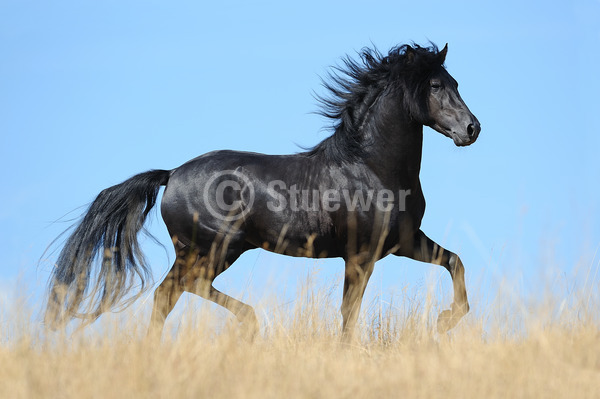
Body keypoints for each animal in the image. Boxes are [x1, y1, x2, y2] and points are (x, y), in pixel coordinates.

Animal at [45, 43, 478, 340]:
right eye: (435, 85)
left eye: (456, 83)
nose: (472, 129)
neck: (370, 167)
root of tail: (172, 174)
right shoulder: (359, 255)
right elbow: (349, 313)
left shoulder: (404, 241)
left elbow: (454, 262)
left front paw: (445, 320)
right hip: (214, 248)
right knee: (179, 289)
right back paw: (249, 323)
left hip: (207, 251)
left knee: (168, 295)